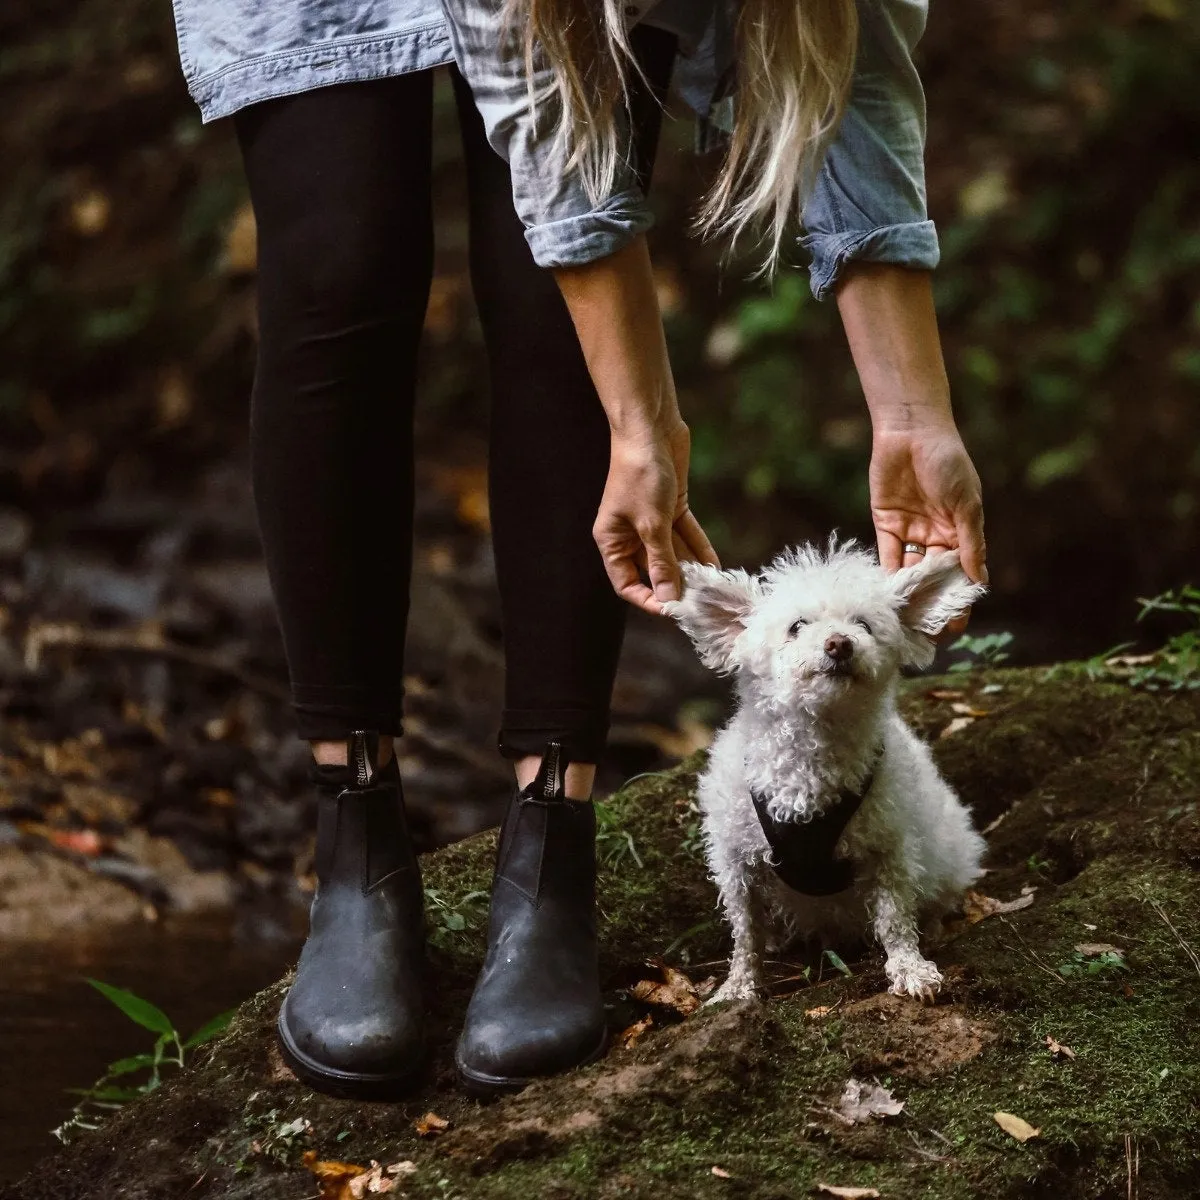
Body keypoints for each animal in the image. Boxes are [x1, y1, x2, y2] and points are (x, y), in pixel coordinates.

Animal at [667, 537, 984, 1003]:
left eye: (864, 625)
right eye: (797, 626)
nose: (839, 644)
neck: (813, 753)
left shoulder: (888, 849)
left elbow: (895, 918)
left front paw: (910, 968)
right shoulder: (737, 861)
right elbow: (746, 933)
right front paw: (738, 986)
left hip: (949, 855)